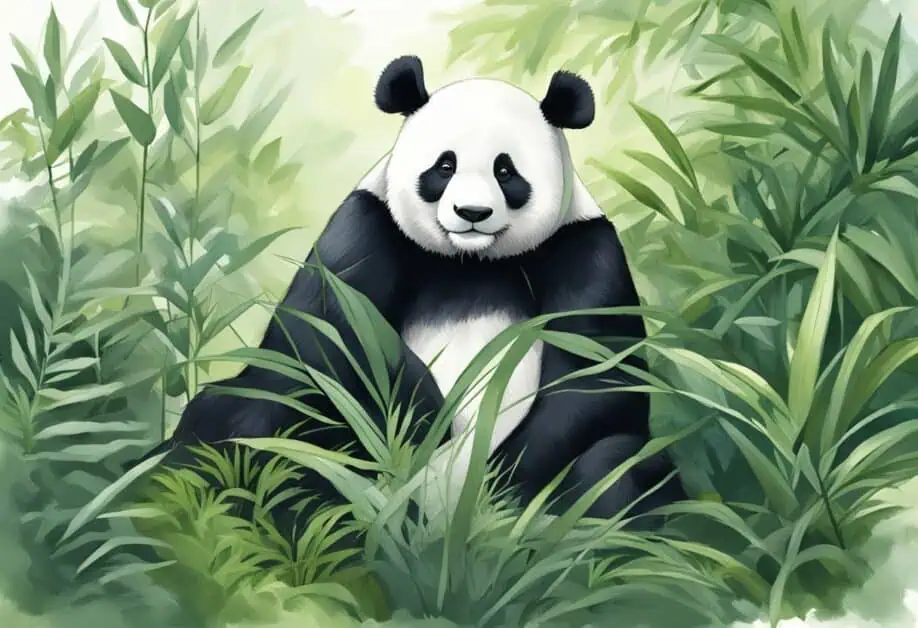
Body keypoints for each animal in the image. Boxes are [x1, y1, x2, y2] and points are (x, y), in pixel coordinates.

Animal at [136, 55, 685, 528]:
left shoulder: (586, 249)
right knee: (247, 418)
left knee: (623, 471)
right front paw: (424, 416)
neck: (471, 262)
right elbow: (320, 338)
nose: (471, 213)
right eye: (444, 166)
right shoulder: (366, 226)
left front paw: (497, 483)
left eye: (505, 170)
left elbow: (598, 378)